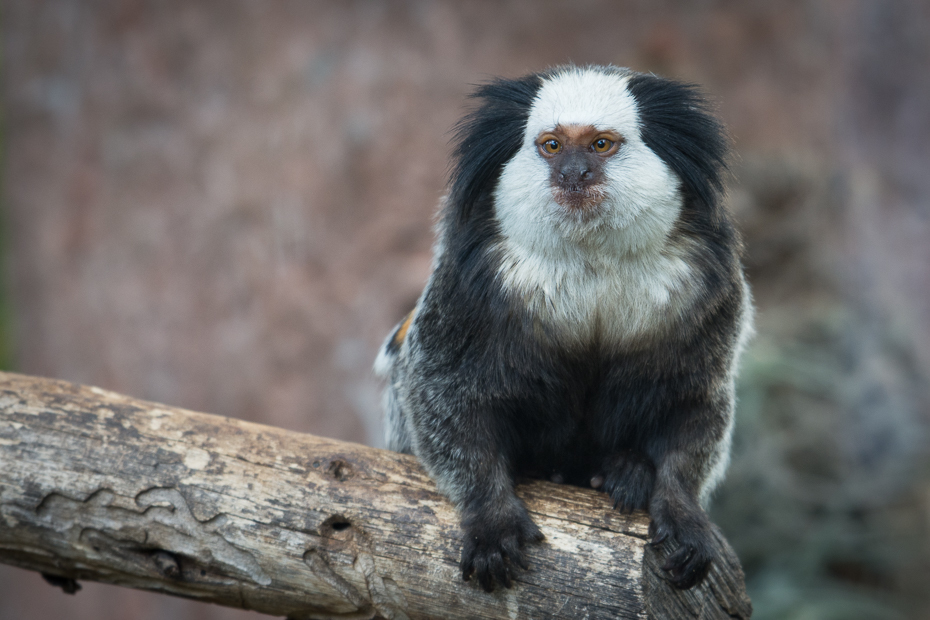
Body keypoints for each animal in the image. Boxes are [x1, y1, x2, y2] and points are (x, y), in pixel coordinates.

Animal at [374, 65, 752, 592]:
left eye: (600, 145)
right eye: (552, 146)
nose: (574, 173)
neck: (590, 264)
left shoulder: (706, 286)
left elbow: (693, 406)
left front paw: (681, 508)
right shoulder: (468, 287)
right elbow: (445, 399)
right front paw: (491, 517)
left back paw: (626, 470)